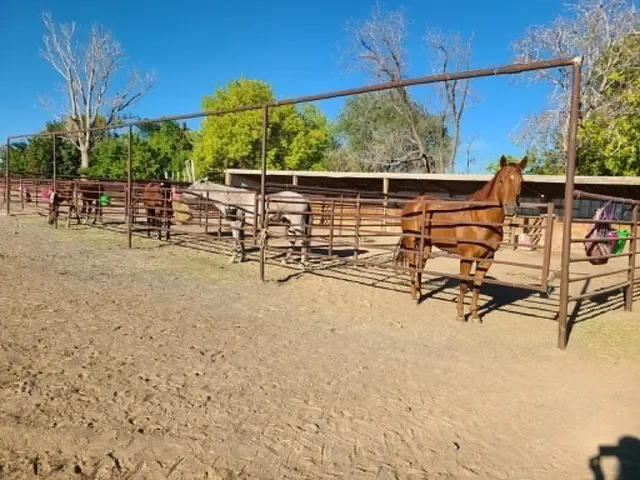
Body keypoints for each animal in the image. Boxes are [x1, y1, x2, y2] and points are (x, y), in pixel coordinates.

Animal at [184, 180, 312, 265]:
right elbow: (241, 240)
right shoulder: (241, 224)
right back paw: (285, 260)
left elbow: (236, 239)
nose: (183, 195)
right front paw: (242, 258)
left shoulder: (236, 223)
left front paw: (233, 258)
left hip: (297, 224)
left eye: (192, 186)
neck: (232, 198)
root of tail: (304, 199)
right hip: (289, 224)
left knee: (302, 240)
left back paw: (302, 263)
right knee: (293, 240)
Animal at [395, 155, 527, 323]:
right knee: (412, 265)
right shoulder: (466, 257)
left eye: (521, 181)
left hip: (426, 245)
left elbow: (477, 286)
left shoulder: (487, 259)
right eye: (502, 180)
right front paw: (460, 314)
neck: (480, 217)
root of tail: (413, 203)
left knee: (420, 266)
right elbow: (463, 284)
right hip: (411, 240)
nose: (510, 208)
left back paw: (420, 293)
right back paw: (414, 295)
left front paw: (475, 316)